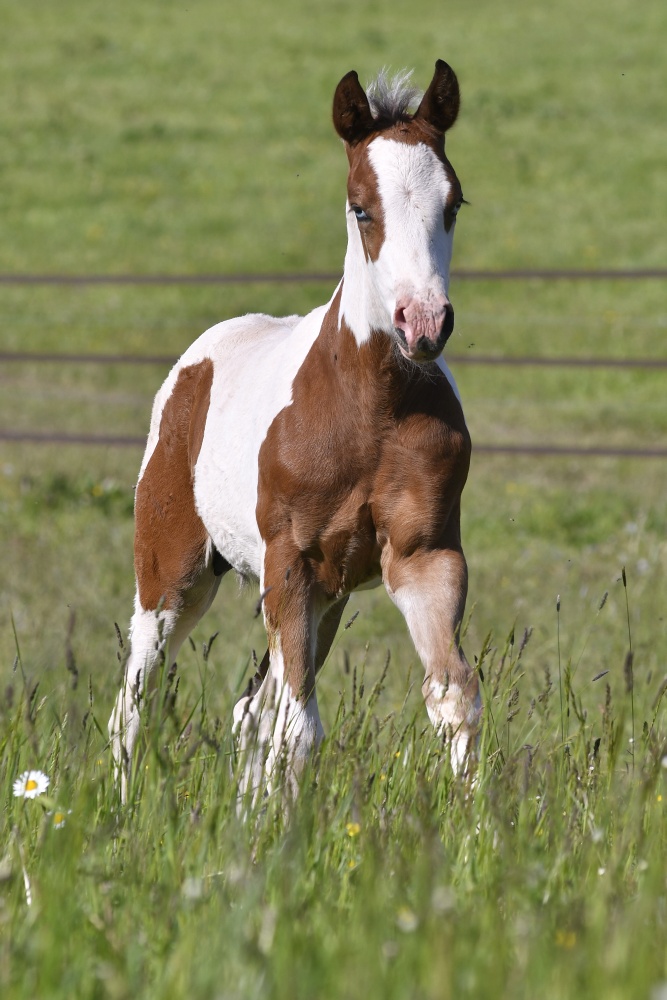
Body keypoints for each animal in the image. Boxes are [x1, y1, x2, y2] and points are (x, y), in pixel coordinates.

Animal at [112, 60, 482, 796]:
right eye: (361, 207)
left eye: (453, 204)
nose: (423, 324)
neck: (373, 410)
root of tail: (197, 359)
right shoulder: (290, 564)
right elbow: (300, 728)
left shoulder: (424, 558)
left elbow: (452, 698)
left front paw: (478, 822)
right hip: (172, 570)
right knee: (137, 696)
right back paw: (118, 805)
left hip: (328, 596)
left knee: (250, 712)